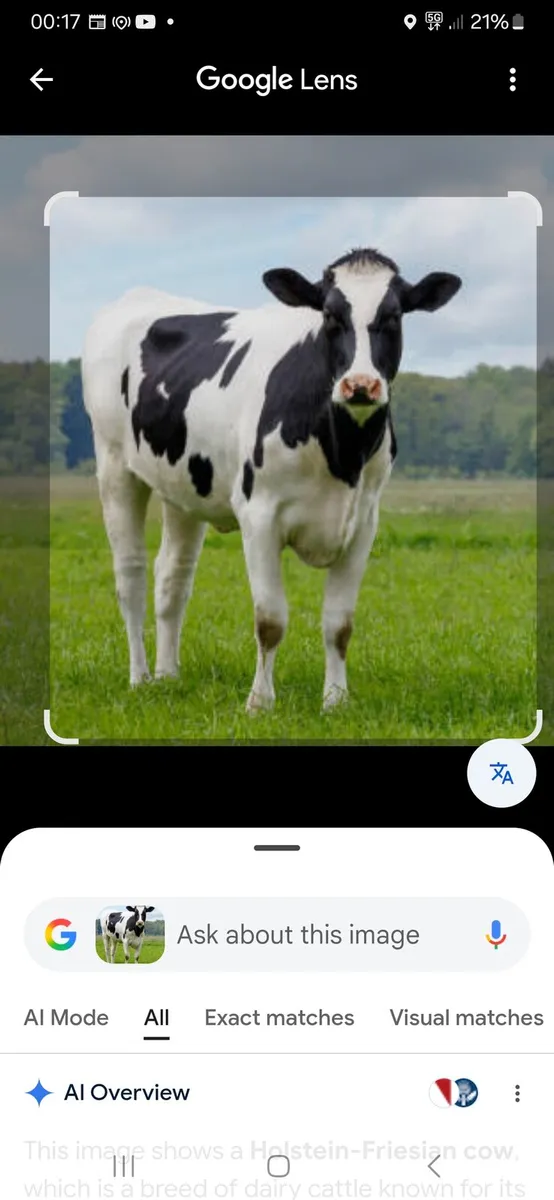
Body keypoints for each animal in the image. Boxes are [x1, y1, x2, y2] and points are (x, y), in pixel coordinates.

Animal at [83, 248, 461, 712]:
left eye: (393, 316)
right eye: (330, 315)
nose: (360, 385)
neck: (342, 454)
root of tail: (139, 295)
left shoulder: (363, 524)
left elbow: (339, 624)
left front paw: (335, 700)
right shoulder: (258, 515)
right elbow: (270, 619)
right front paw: (260, 703)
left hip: (182, 486)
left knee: (173, 575)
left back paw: (168, 676)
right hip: (114, 464)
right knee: (131, 573)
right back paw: (139, 678)